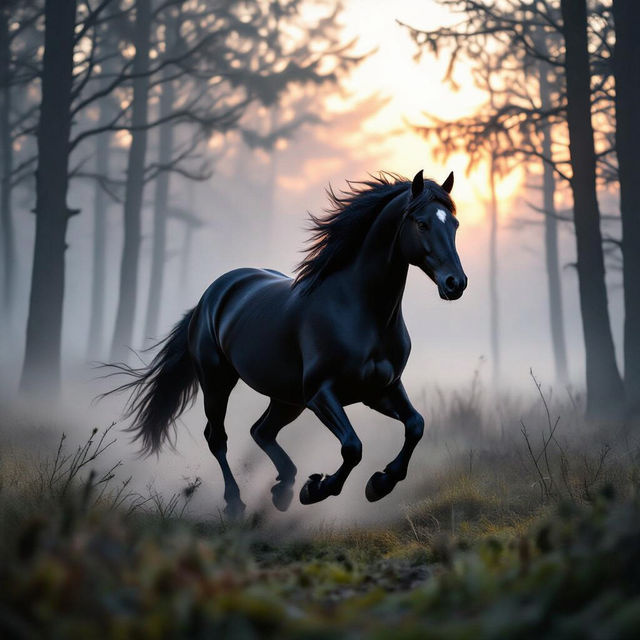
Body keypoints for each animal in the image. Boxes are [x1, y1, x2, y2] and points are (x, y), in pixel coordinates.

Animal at [110, 169, 467, 516]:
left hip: (287, 398)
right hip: (218, 381)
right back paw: (237, 503)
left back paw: (283, 488)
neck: (360, 311)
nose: (456, 283)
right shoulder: (322, 394)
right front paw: (317, 489)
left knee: (261, 431)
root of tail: (211, 295)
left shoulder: (381, 389)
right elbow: (353, 447)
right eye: (422, 223)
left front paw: (380, 483)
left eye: (455, 224)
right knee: (218, 437)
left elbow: (416, 425)